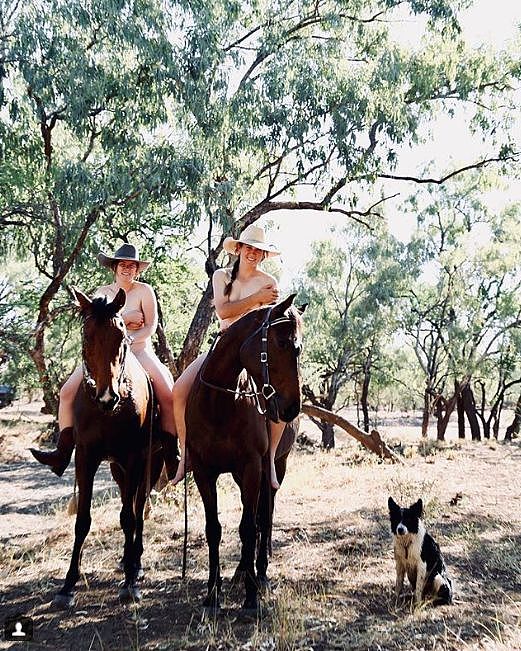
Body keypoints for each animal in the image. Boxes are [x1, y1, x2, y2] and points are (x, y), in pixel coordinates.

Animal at [50, 290, 165, 612]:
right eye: (87, 336)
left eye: (121, 337)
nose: (107, 397)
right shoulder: (86, 458)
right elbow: (83, 520)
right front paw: (67, 586)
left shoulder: (135, 458)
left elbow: (129, 517)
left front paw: (130, 584)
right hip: (117, 469)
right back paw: (127, 560)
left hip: (150, 465)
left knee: (138, 510)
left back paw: (135, 563)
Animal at [185, 292, 302, 612]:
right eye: (283, 343)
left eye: (299, 348)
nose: (292, 408)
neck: (219, 403)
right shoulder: (203, 472)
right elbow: (214, 528)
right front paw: (212, 593)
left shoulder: (251, 468)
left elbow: (250, 527)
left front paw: (251, 595)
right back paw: (241, 571)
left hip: (276, 468)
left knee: (265, 515)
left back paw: (258, 573)